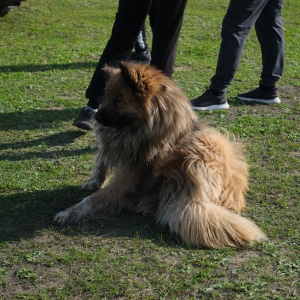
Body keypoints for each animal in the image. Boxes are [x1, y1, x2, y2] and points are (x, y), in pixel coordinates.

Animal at [54, 61, 268, 248]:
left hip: (206, 143)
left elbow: (95, 199)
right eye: (105, 97)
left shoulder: (130, 177)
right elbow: (101, 161)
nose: (96, 116)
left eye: (118, 100)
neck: (139, 127)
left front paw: (70, 213)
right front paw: (93, 182)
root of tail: (194, 199)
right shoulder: (112, 146)